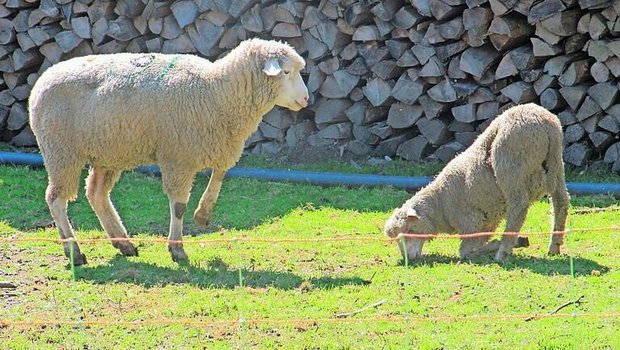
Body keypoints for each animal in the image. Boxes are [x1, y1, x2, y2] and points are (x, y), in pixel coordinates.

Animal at [29, 38, 310, 266]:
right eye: (286, 71)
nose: (306, 99)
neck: (215, 92)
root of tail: (41, 81)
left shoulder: (215, 143)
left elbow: (219, 174)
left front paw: (203, 214)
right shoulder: (178, 157)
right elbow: (179, 206)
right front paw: (178, 250)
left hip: (107, 152)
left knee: (96, 194)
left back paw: (123, 243)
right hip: (61, 151)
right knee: (56, 199)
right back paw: (74, 252)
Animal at [386, 104, 568, 262]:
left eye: (408, 230)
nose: (407, 259)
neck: (441, 204)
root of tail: (544, 123)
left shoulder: (471, 222)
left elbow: (465, 252)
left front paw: (502, 245)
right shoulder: (487, 224)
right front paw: (513, 243)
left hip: (511, 166)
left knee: (519, 206)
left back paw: (503, 252)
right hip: (556, 164)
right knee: (561, 201)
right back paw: (554, 246)